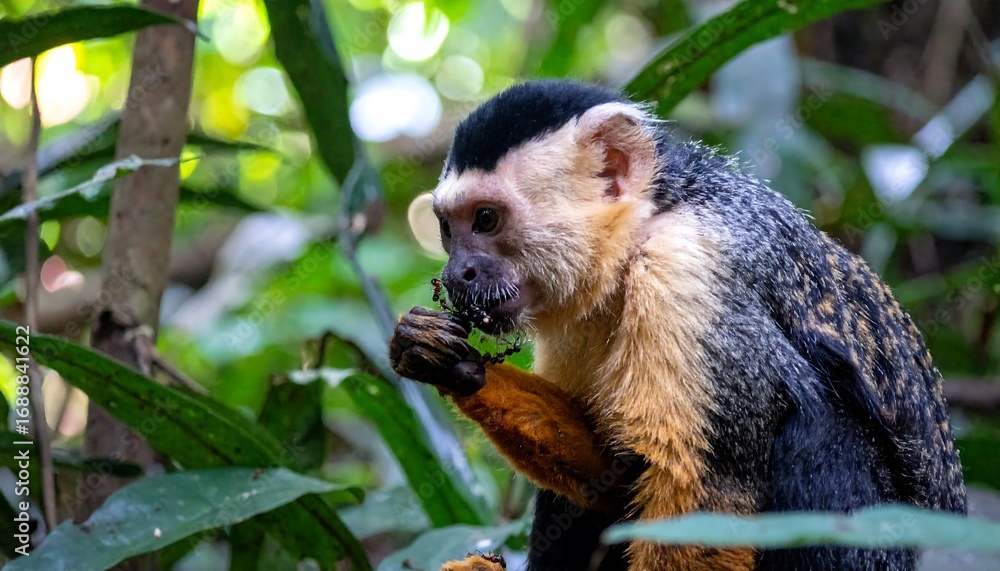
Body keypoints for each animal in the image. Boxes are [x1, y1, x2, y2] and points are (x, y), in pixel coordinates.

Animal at [388, 80, 967, 570]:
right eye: (449, 230)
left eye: (486, 220)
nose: (456, 272)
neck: (645, 228)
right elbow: (614, 475)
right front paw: (447, 362)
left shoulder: (686, 273)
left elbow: (704, 502)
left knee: (821, 428)